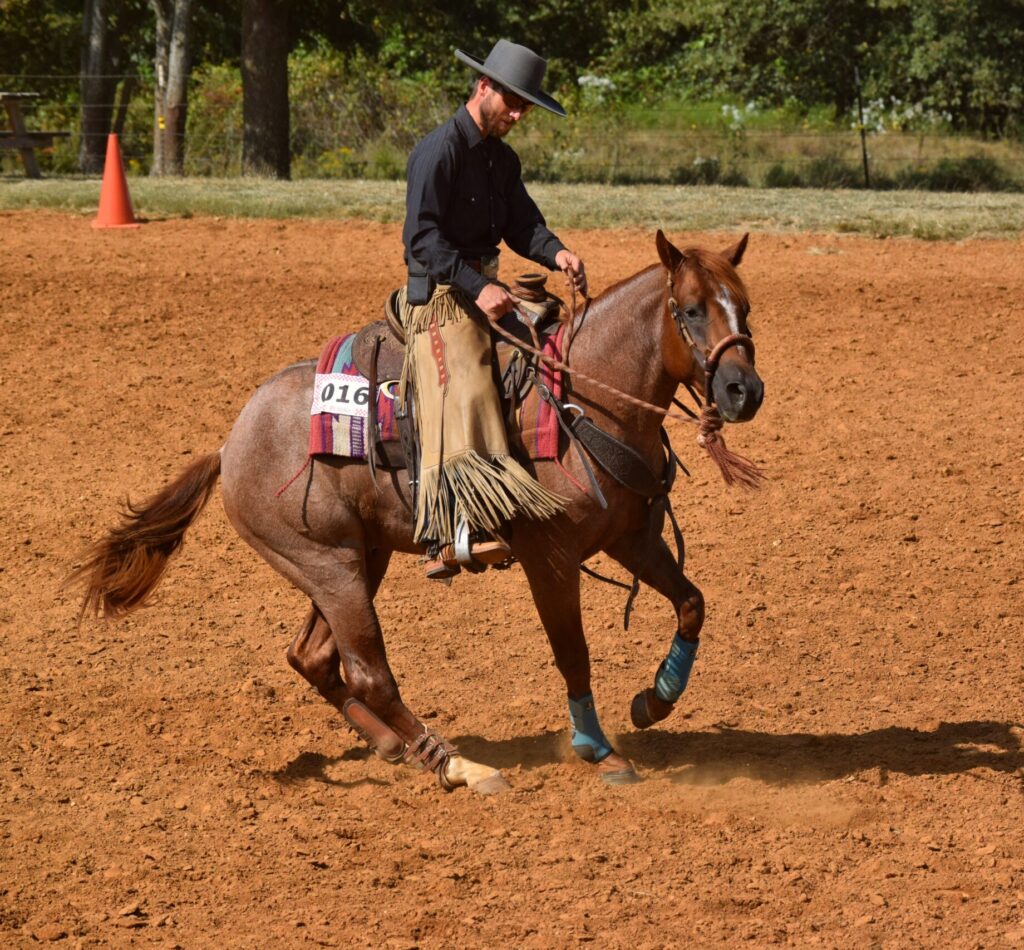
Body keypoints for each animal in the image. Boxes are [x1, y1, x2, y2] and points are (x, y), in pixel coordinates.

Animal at [73, 229, 764, 793]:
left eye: (745, 307)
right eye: (691, 310)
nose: (743, 391)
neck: (581, 398)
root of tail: (229, 443)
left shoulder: (631, 536)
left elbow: (692, 603)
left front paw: (656, 700)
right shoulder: (551, 558)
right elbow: (573, 651)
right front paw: (597, 750)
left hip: (355, 560)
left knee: (313, 657)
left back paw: (396, 748)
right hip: (328, 567)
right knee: (368, 672)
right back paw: (457, 765)